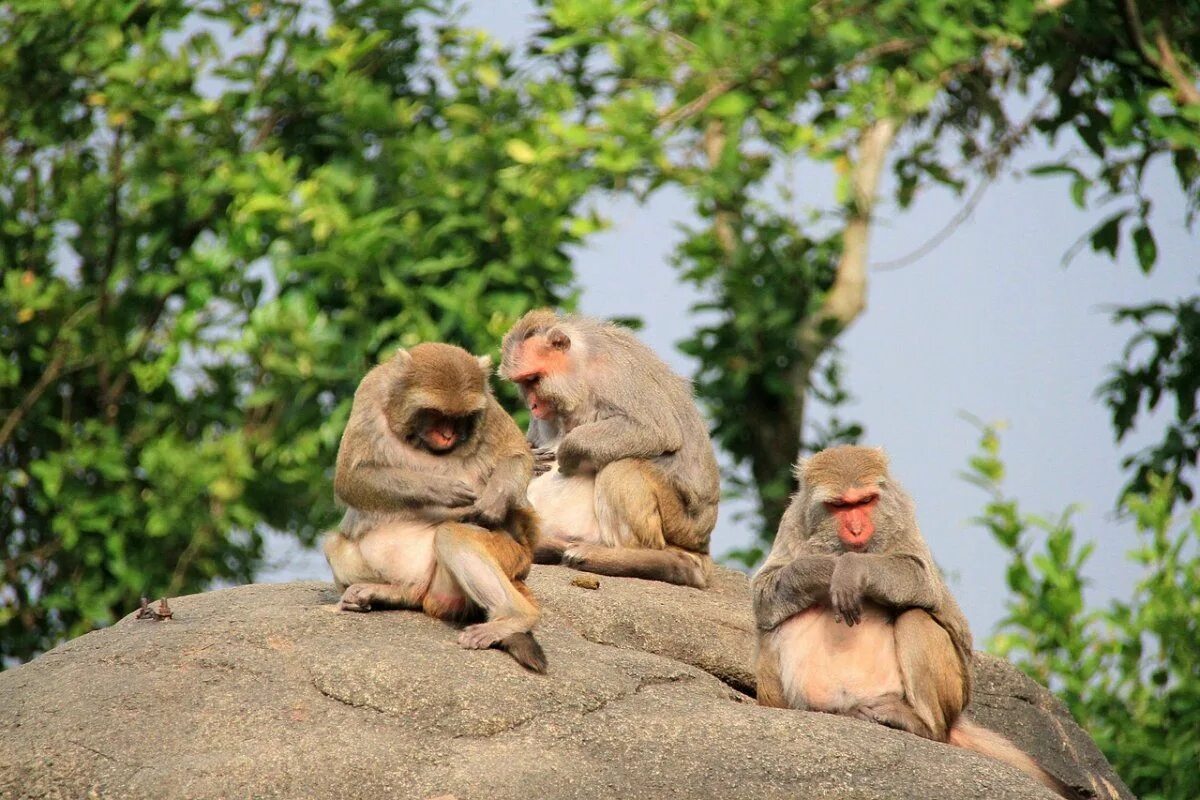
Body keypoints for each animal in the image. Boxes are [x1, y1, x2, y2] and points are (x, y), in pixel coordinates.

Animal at [319, 340, 544, 671]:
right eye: (436, 414)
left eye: (461, 418)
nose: (448, 435)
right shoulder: (369, 392)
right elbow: (351, 478)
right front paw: (443, 489)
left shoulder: (487, 405)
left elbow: (516, 455)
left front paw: (493, 501)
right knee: (334, 544)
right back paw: (396, 593)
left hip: (510, 558)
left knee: (453, 535)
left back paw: (513, 618)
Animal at [499, 309, 720, 592]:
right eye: (523, 383)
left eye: (534, 379)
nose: (534, 406)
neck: (581, 367)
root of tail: (702, 543)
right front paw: (529, 455)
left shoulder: (615, 373)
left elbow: (656, 430)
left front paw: (569, 451)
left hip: (680, 525)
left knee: (622, 466)